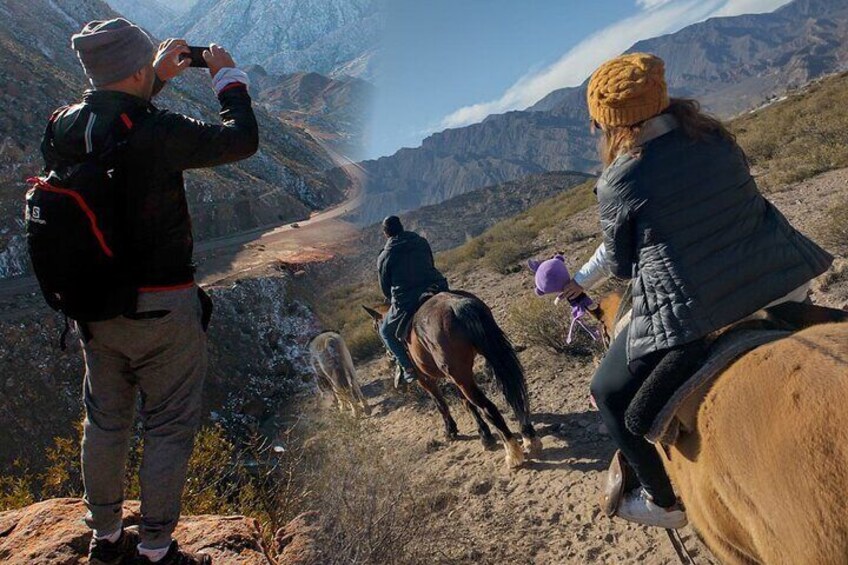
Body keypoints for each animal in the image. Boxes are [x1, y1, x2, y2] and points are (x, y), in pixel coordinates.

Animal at [362, 290, 540, 468]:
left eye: (376, 328)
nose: (388, 355)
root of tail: (458, 306)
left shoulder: (426, 379)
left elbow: (441, 404)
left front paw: (451, 430)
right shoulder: (454, 377)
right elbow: (467, 404)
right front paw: (485, 435)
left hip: (460, 375)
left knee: (488, 407)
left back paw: (512, 453)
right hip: (487, 360)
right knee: (512, 393)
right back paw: (528, 435)